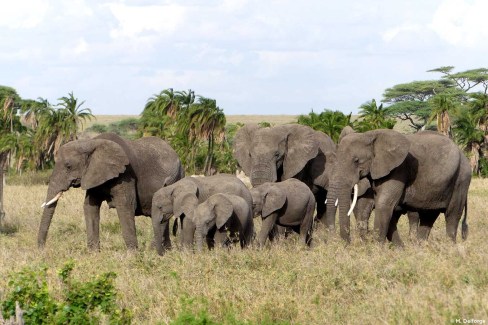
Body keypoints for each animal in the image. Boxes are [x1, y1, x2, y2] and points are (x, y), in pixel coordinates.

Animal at [37, 132, 184, 251]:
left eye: (68, 166)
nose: (41, 250)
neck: (91, 143)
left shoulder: (125, 174)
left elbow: (126, 206)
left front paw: (132, 255)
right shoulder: (93, 175)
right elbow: (90, 206)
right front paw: (93, 254)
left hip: (174, 179)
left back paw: (154, 249)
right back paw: (166, 251)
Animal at [326, 128, 470, 244]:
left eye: (356, 161)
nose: (348, 242)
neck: (369, 134)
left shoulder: (398, 170)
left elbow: (384, 205)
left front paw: (376, 249)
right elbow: (383, 208)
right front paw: (396, 250)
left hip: (461, 180)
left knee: (452, 215)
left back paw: (450, 248)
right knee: (428, 216)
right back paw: (420, 250)